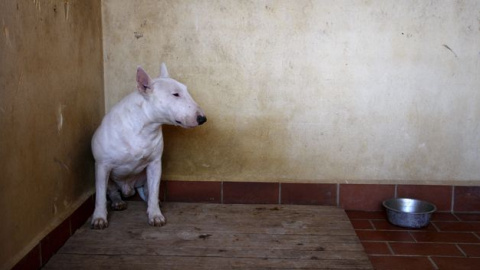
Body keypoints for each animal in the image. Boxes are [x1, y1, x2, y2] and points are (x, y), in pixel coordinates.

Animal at [91, 64, 205, 229]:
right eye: (175, 94)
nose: (203, 118)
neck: (144, 126)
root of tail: (128, 189)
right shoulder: (102, 165)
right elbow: (100, 195)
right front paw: (99, 218)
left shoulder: (155, 164)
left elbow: (154, 190)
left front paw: (155, 215)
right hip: (109, 178)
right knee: (111, 191)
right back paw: (118, 202)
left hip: (144, 178)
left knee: (148, 192)